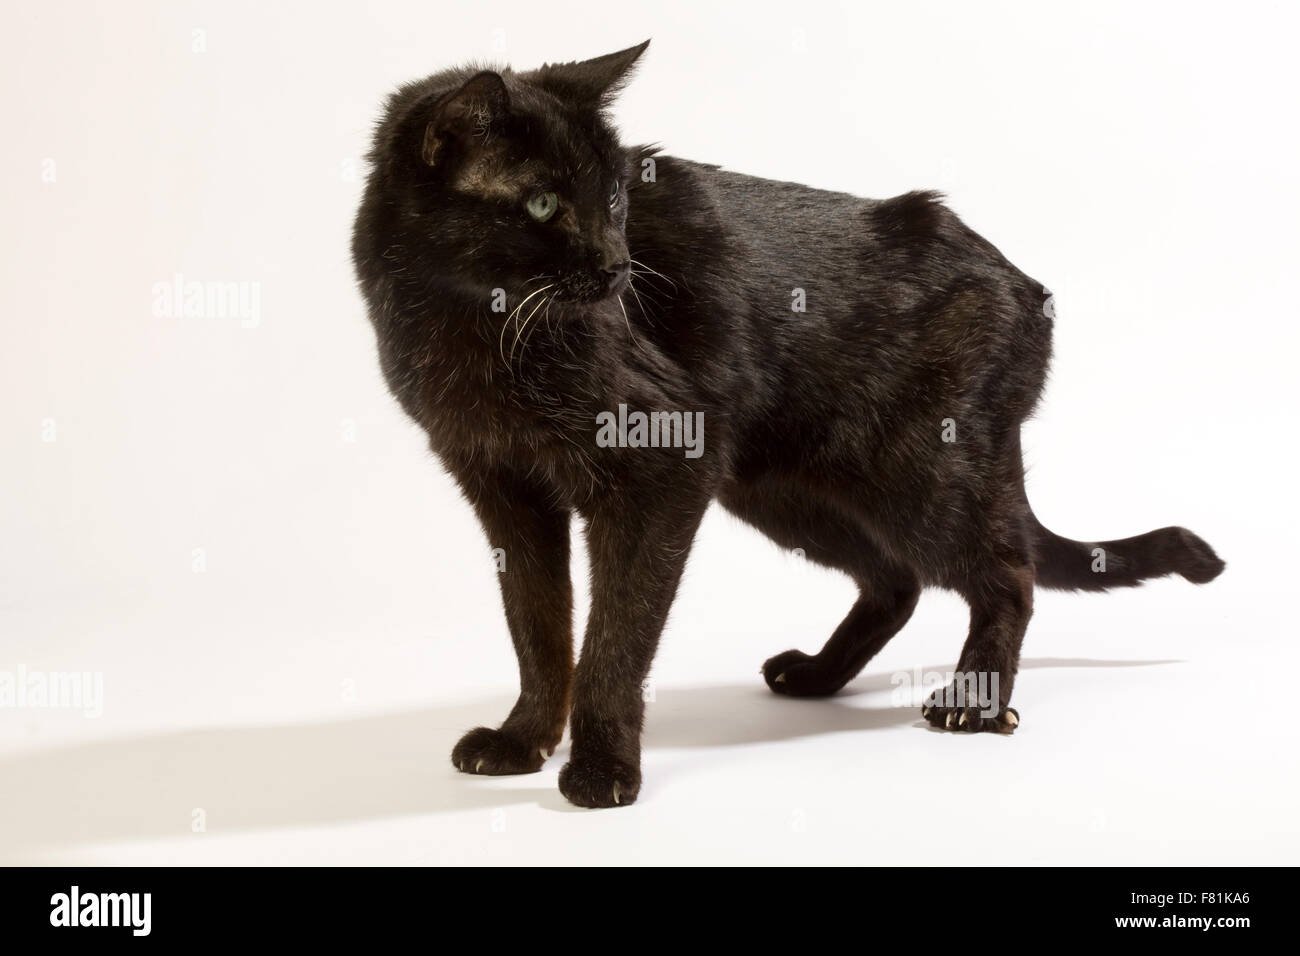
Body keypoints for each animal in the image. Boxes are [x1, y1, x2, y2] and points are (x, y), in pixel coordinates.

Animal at [351, 42, 1222, 806]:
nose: (617, 268)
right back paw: (814, 676)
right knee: (896, 580)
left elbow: (615, 636)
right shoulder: (505, 490)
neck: (467, 324)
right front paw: (522, 740)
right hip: (786, 489)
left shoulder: (661, 468)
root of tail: (1025, 284)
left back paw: (974, 703)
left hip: (921, 471)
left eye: (617, 199)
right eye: (541, 204)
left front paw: (601, 770)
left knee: (1007, 572)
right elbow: (536, 628)